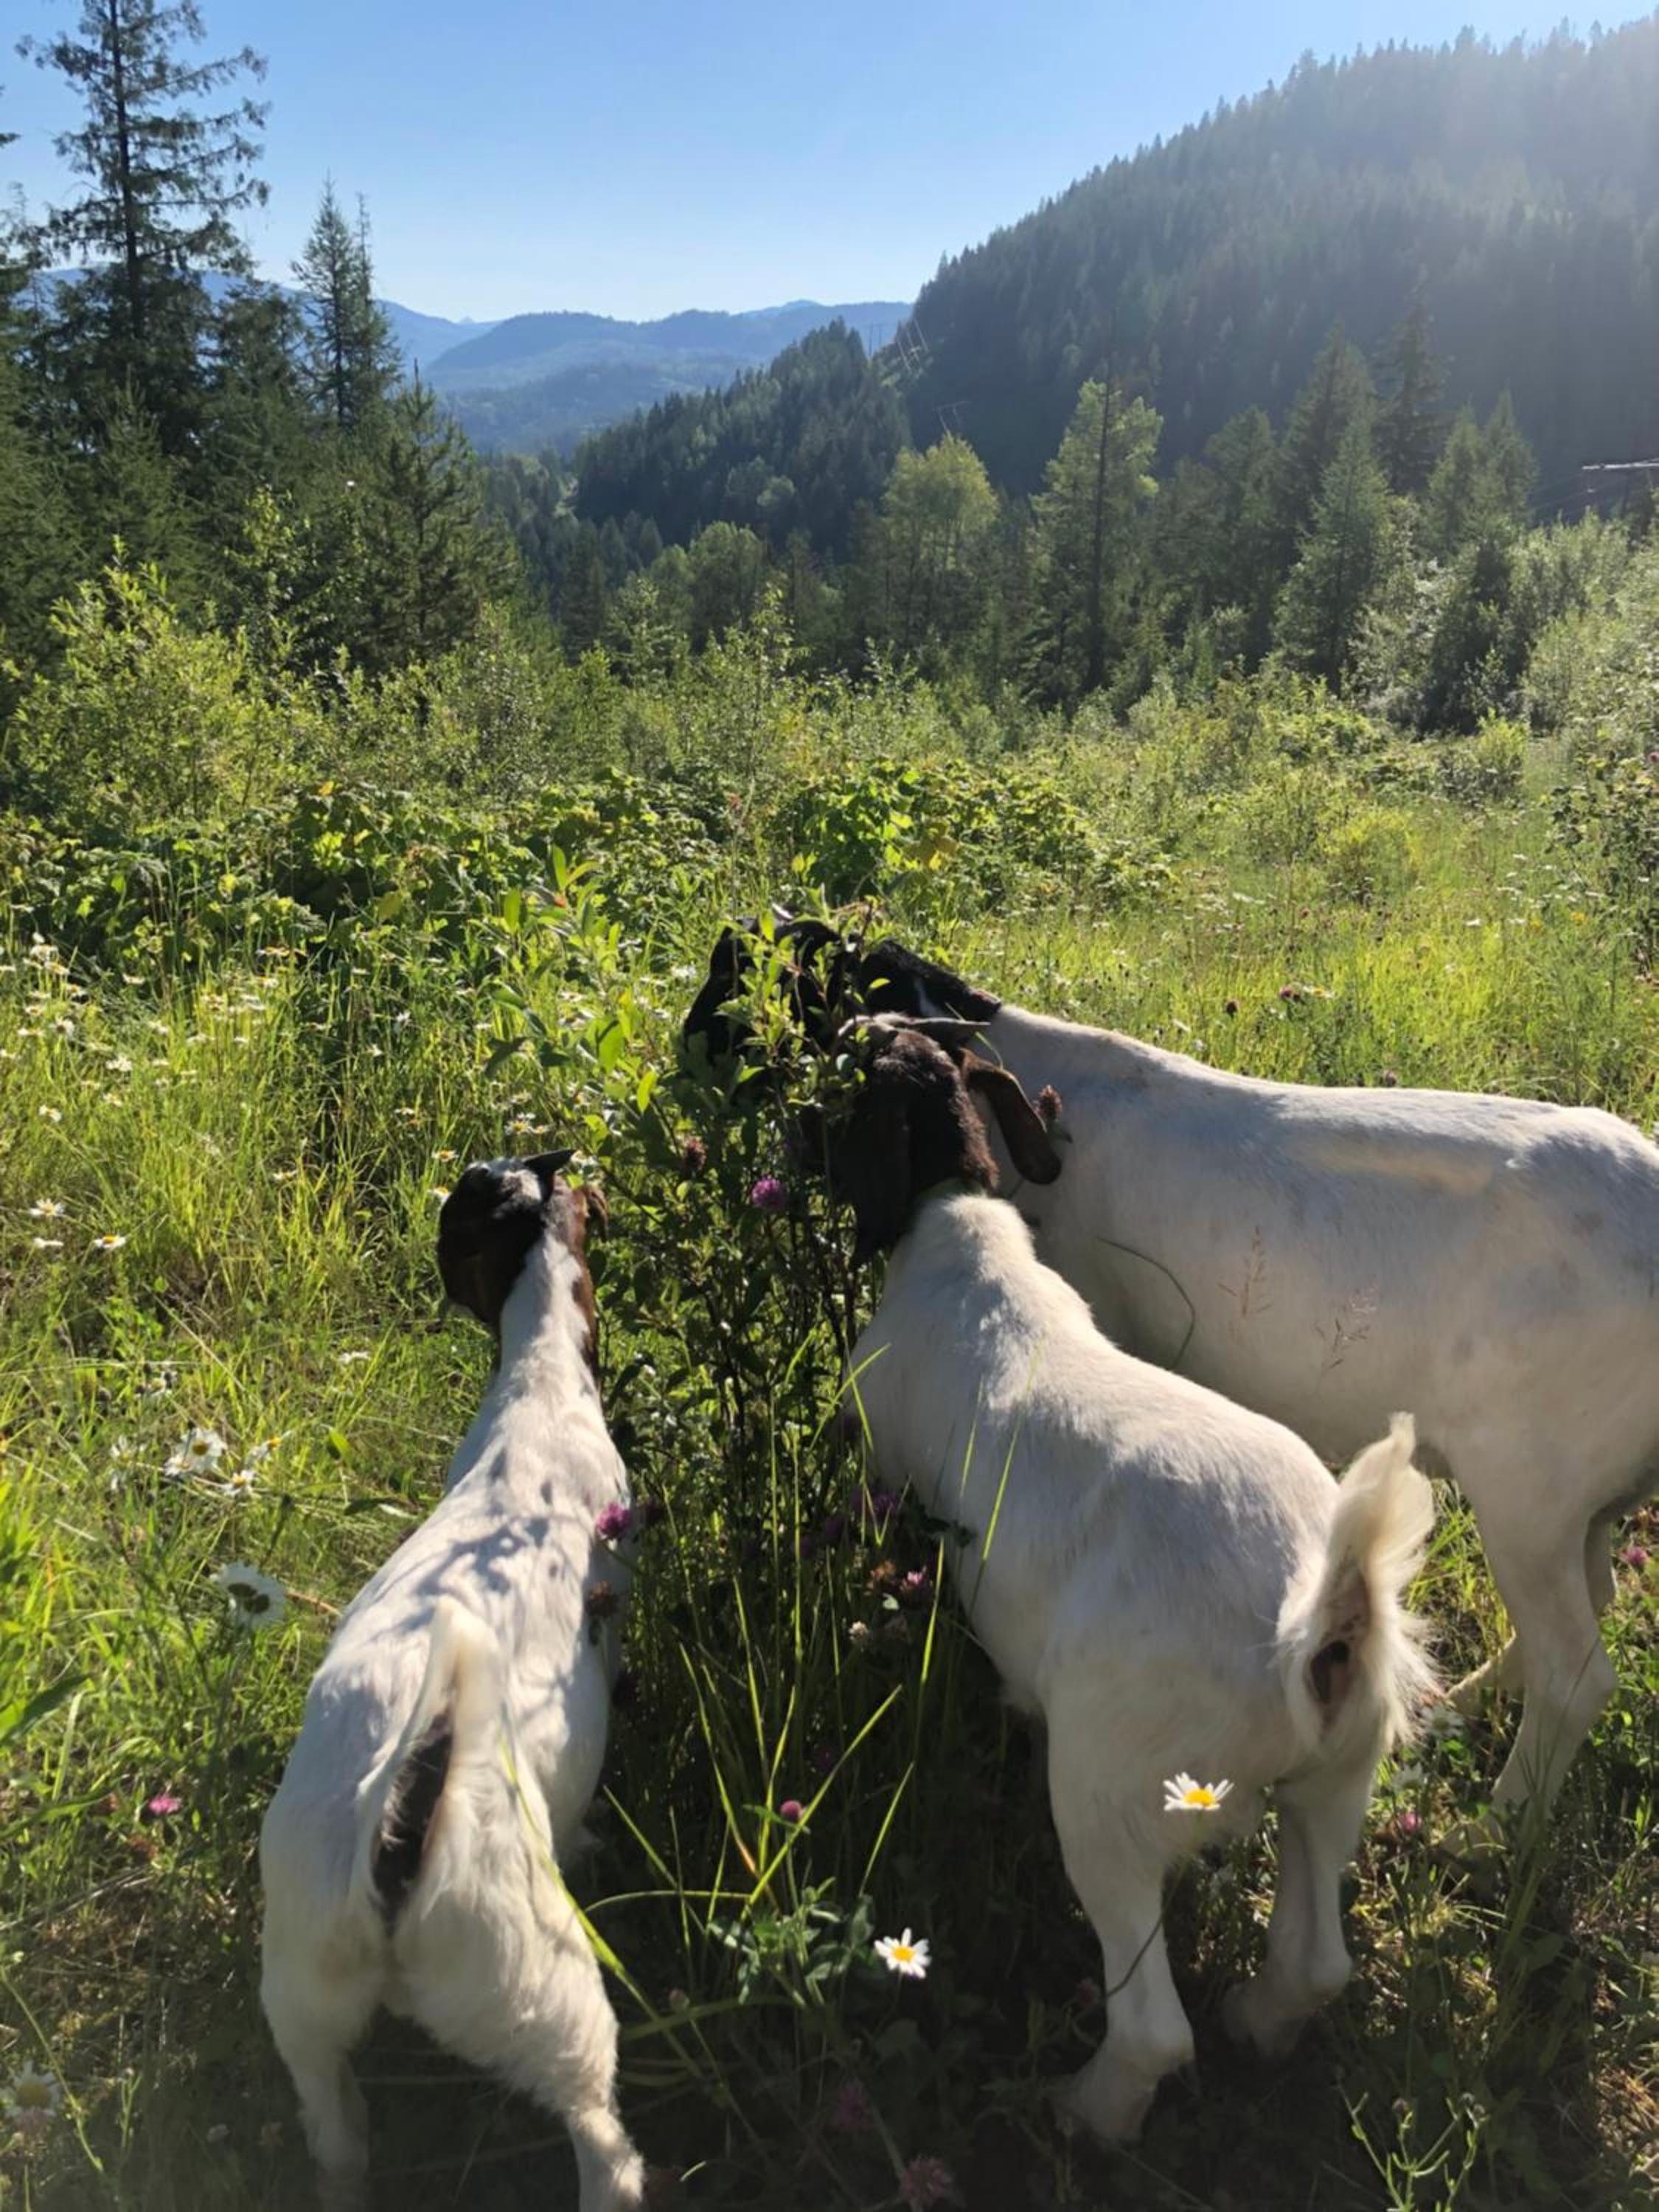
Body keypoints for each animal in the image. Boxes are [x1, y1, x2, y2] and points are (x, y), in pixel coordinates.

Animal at [259, 1151, 646, 2212]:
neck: (538, 1378)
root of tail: (383, 1852)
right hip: (539, 1987)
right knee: (600, 2139)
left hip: (303, 1999)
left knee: (337, 2136)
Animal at [686, 922, 1659, 1826]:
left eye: (753, 982)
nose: (692, 1051)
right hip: (1582, 1496)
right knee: (1592, 1595)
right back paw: (1450, 1708)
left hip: (1528, 1483)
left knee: (1576, 1670)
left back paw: (1495, 1825)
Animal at [832, 1025, 1437, 2143]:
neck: (953, 1223)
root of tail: (1316, 1615)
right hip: (1338, 1775)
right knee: (1315, 1958)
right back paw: (1258, 2024)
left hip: (1112, 1794)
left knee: (1153, 2022)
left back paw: (1086, 2112)